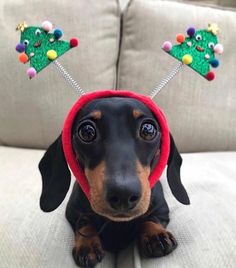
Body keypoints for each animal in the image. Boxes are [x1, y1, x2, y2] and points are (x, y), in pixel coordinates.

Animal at [38, 97, 190, 266]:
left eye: (148, 130)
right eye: (86, 131)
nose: (123, 195)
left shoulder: (162, 210)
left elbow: (151, 219)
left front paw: (155, 235)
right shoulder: (72, 211)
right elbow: (84, 223)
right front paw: (87, 244)